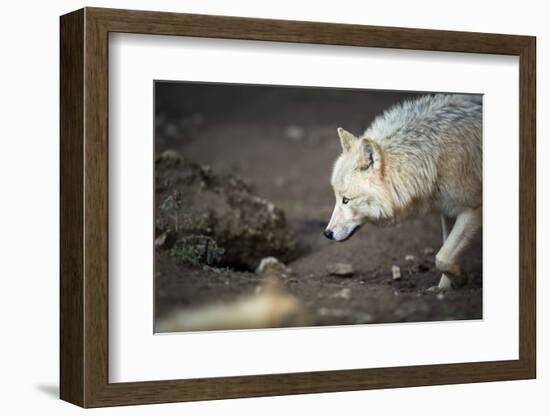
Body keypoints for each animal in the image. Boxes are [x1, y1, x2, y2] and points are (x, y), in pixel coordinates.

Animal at [328, 94, 484, 290]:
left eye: (346, 200)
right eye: (336, 197)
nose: (326, 233)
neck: (434, 160)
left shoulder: (474, 209)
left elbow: (442, 257)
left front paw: (460, 280)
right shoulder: (447, 211)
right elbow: (446, 252)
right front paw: (444, 289)